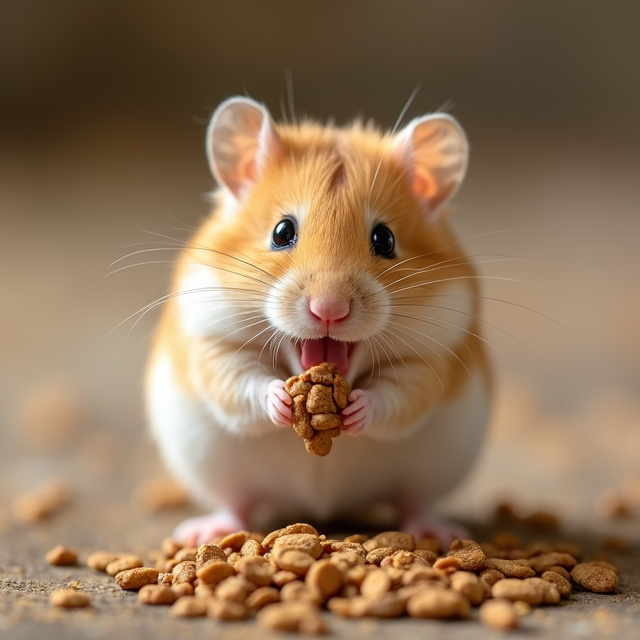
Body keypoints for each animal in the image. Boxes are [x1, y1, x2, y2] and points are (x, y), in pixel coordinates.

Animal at [145, 96, 492, 546]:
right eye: (281, 232)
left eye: (385, 239)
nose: (329, 309)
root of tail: (323, 509)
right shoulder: (211, 344)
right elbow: (242, 382)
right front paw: (281, 400)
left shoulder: (433, 358)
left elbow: (397, 397)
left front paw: (357, 409)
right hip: (214, 466)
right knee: (236, 502)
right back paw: (203, 533)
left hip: (432, 469)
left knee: (414, 503)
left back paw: (440, 533)